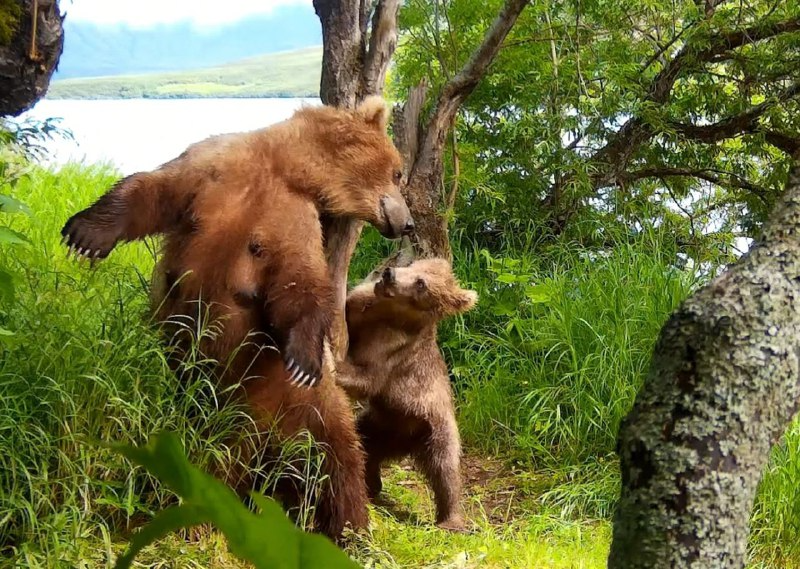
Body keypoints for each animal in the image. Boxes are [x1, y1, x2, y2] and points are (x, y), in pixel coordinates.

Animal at [59, 96, 416, 536]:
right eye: (397, 172)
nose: (407, 223)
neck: (283, 166)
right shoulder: (212, 167)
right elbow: (150, 190)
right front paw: (86, 233)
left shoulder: (292, 220)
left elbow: (298, 284)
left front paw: (303, 357)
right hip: (200, 397)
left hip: (304, 405)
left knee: (341, 461)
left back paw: (348, 530)